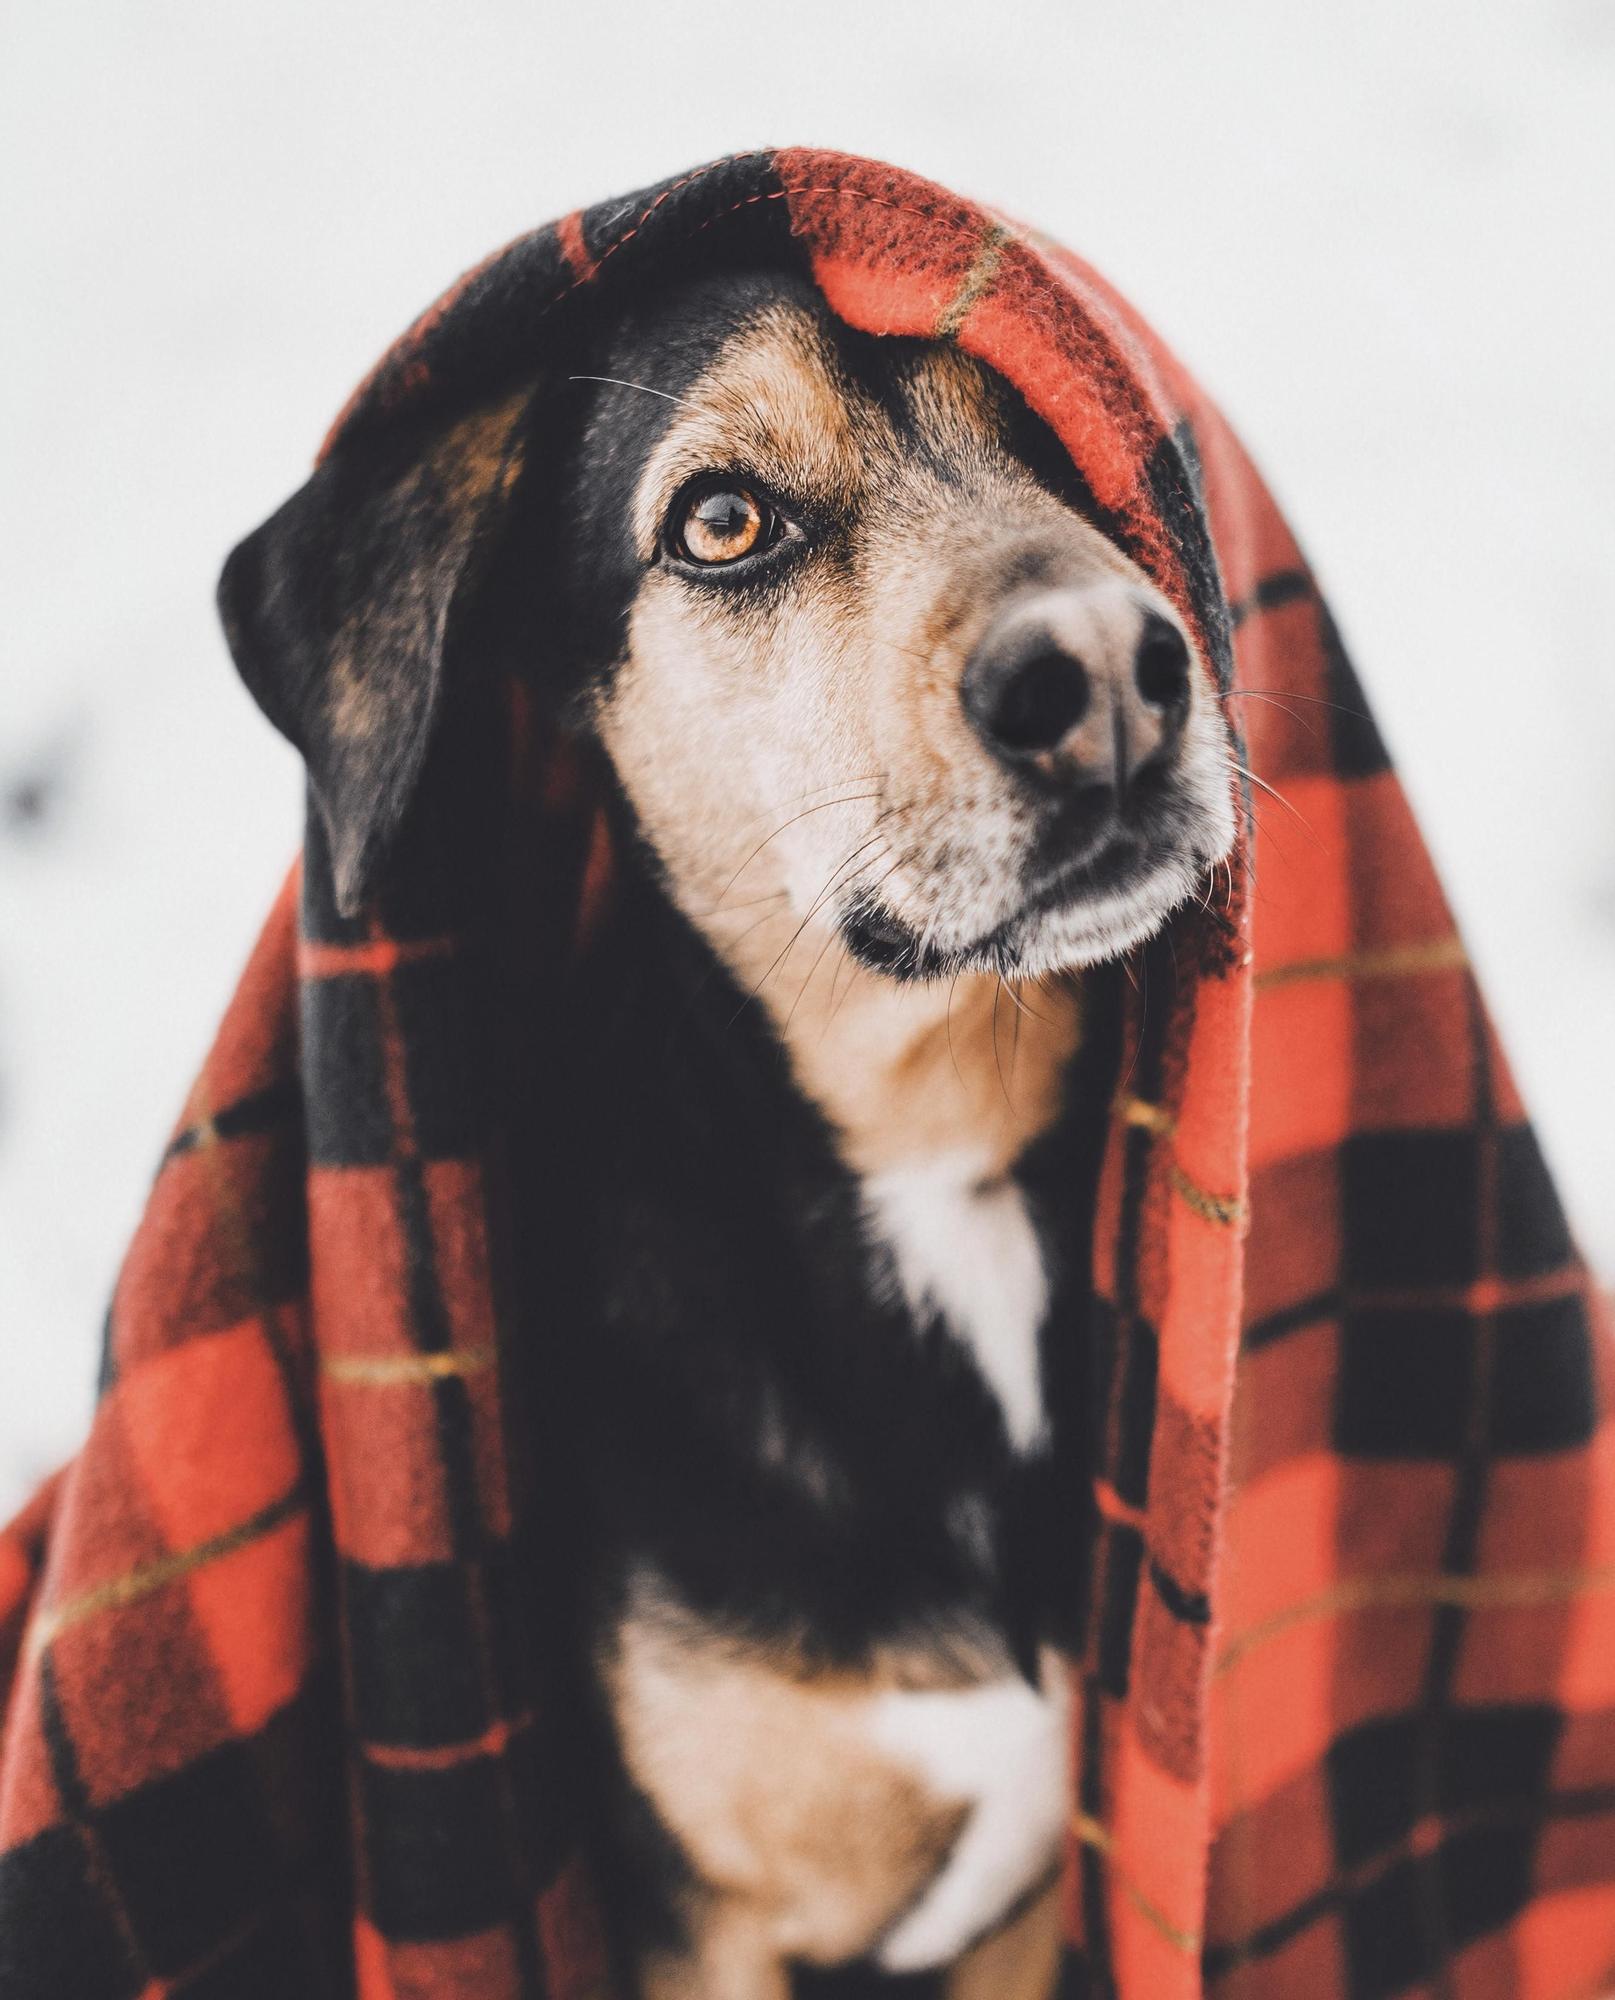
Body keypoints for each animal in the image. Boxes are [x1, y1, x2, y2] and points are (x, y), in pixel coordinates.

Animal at [229, 270, 1239, 2000]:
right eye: (719, 521)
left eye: (1057, 436)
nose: (1106, 671)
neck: (935, 1154)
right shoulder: (699, 1920)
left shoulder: (1024, 1911)